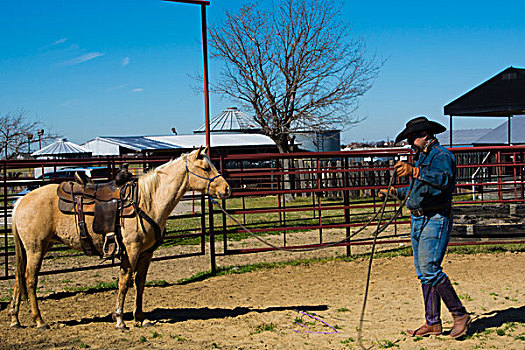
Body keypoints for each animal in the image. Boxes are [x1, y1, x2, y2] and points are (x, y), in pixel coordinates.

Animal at [8, 147, 229, 328]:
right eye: (206, 168)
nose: (226, 188)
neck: (148, 201)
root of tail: (20, 202)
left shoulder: (146, 252)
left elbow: (140, 282)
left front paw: (140, 317)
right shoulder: (131, 250)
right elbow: (124, 281)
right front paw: (120, 319)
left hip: (35, 248)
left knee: (19, 278)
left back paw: (15, 319)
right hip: (36, 248)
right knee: (29, 279)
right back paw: (39, 320)